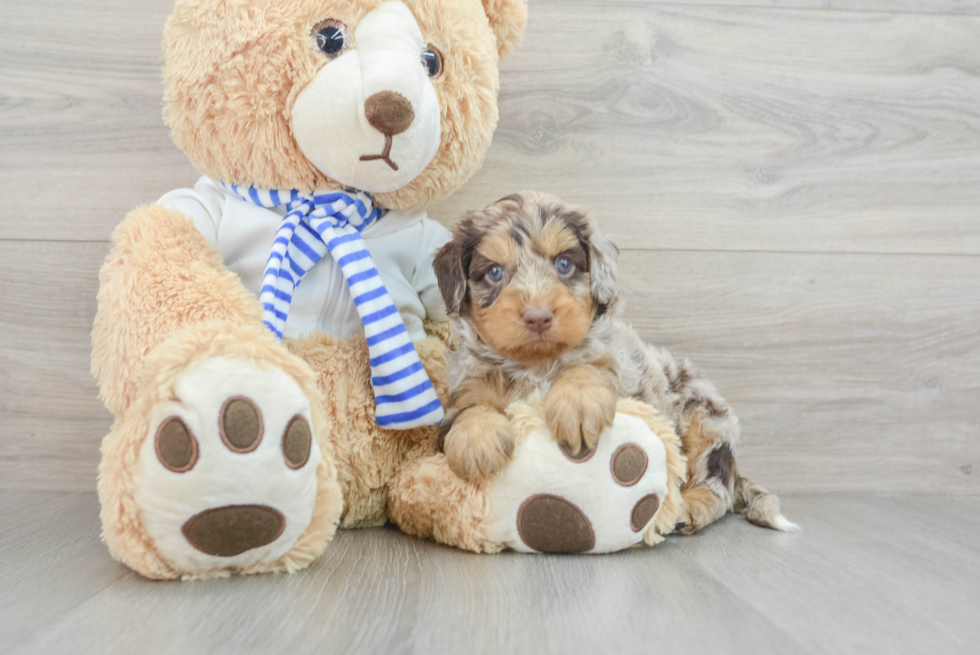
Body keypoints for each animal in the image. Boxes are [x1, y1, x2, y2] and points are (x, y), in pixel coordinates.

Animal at [436, 192, 796, 536]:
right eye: (494, 272)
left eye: (564, 264)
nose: (538, 316)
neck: (535, 364)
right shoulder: (464, 388)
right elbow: (469, 410)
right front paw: (477, 442)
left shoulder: (623, 374)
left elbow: (586, 366)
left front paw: (577, 403)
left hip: (706, 419)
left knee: (717, 485)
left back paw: (690, 509)